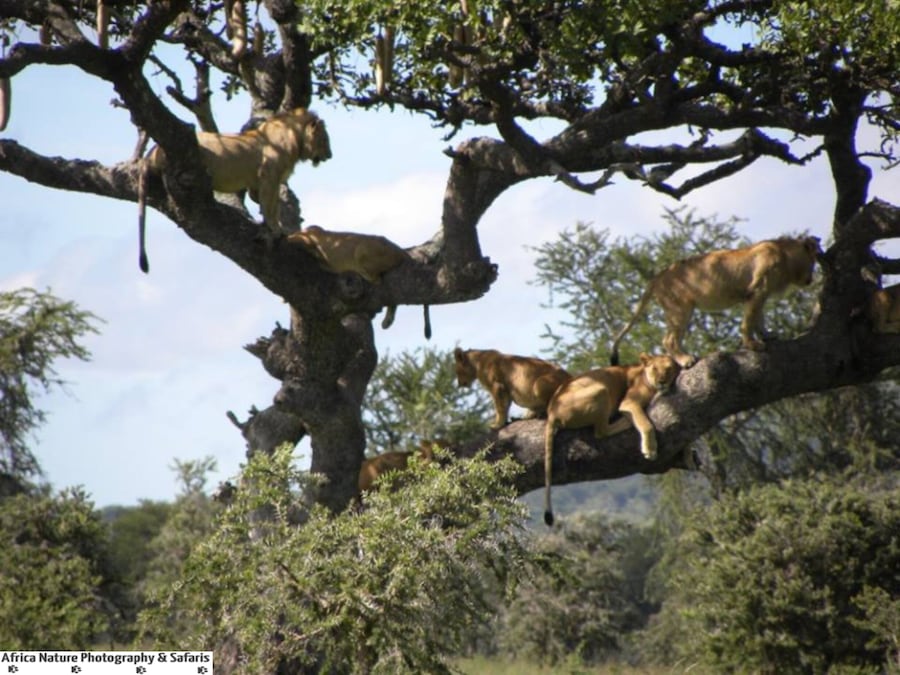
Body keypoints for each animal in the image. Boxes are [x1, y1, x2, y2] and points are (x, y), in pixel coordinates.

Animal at [137, 107, 332, 273]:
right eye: (325, 139)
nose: (330, 155)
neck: (296, 139)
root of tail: (153, 152)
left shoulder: (261, 182)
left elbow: (269, 204)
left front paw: (274, 227)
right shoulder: (269, 177)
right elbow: (270, 206)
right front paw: (275, 230)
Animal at [543, 353, 680, 526]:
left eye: (669, 369)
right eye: (655, 368)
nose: (662, 381)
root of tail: (551, 412)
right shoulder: (629, 402)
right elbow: (646, 424)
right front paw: (650, 450)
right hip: (601, 389)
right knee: (601, 431)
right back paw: (625, 421)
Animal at [610, 236, 822, 368]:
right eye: (813, 261)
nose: (810, 280)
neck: (785, 255)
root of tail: (658, 275)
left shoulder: (758, 294)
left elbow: (758, 319)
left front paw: (768, 336)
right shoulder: (757, 291)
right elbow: (748, 322)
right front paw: (753, 345)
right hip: (679, 309)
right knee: (668, 340)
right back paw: (685, 360)